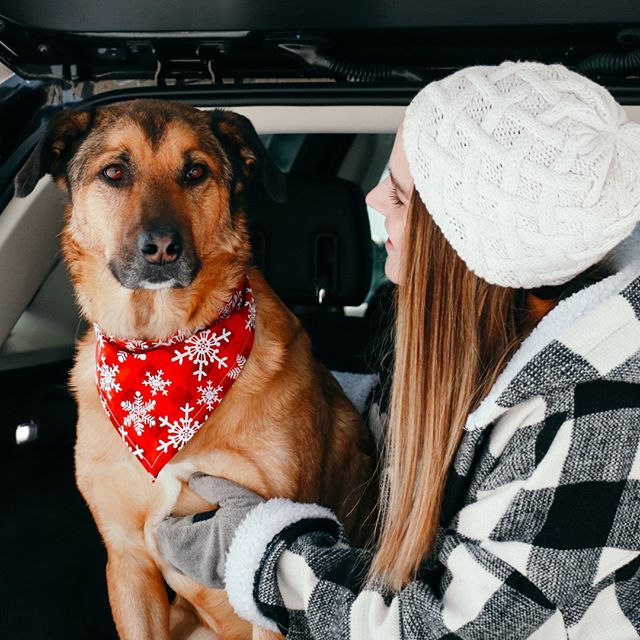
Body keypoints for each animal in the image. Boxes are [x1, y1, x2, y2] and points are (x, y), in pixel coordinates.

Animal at [15, 100, 376, 640]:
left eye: (195, 172)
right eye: (114, 172)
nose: (163, 248)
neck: (164, 348)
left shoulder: (266, 587)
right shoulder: (128, 561)